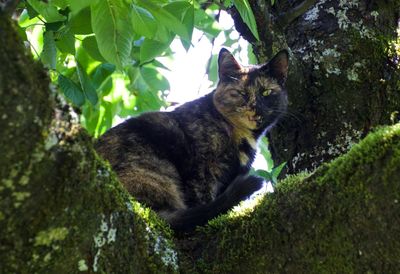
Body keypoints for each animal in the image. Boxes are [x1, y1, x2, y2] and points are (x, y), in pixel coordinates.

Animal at [94, 48, 288, 231]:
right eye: (241, 93)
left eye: (266, 92)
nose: (255, 107)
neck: (241, 136)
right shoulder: (203, 170)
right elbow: (203, 198)